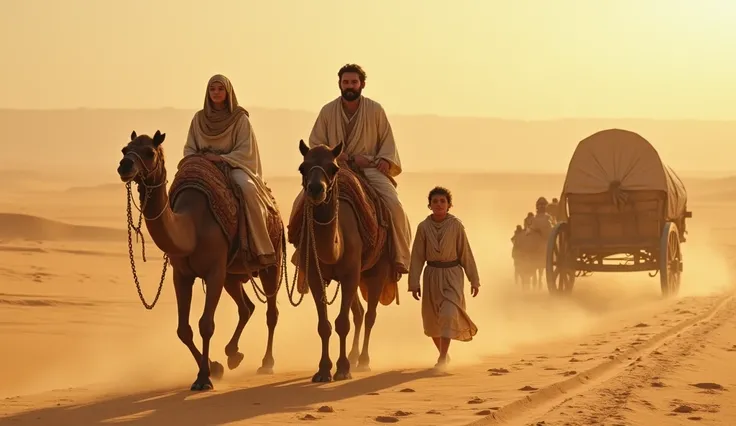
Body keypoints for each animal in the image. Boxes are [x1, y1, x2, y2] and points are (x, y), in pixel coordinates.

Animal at [116, 131, 284, 392]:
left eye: (149, 152)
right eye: (125, 149)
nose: (125, 165)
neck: (191, 226)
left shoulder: (214, 271)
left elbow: (206, 324)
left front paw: (204, 378)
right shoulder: (182, 274)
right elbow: (183, 330)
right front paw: (214, 368)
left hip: (271, 261)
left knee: (271, 311)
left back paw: (266, 363)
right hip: (231, 274)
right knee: (246, 307)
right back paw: (233, 353)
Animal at [294, 141, 396, 382]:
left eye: (333, 168)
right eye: (302, 167)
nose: (316, 189)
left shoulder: (351, 273)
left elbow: (342, 323)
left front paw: (342, 369)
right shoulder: (315, 275)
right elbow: (324, 325)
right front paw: (323, 370)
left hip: (378, 268)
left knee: (369, 315)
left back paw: (363, 360)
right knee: (358, 313)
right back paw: (354, 355)